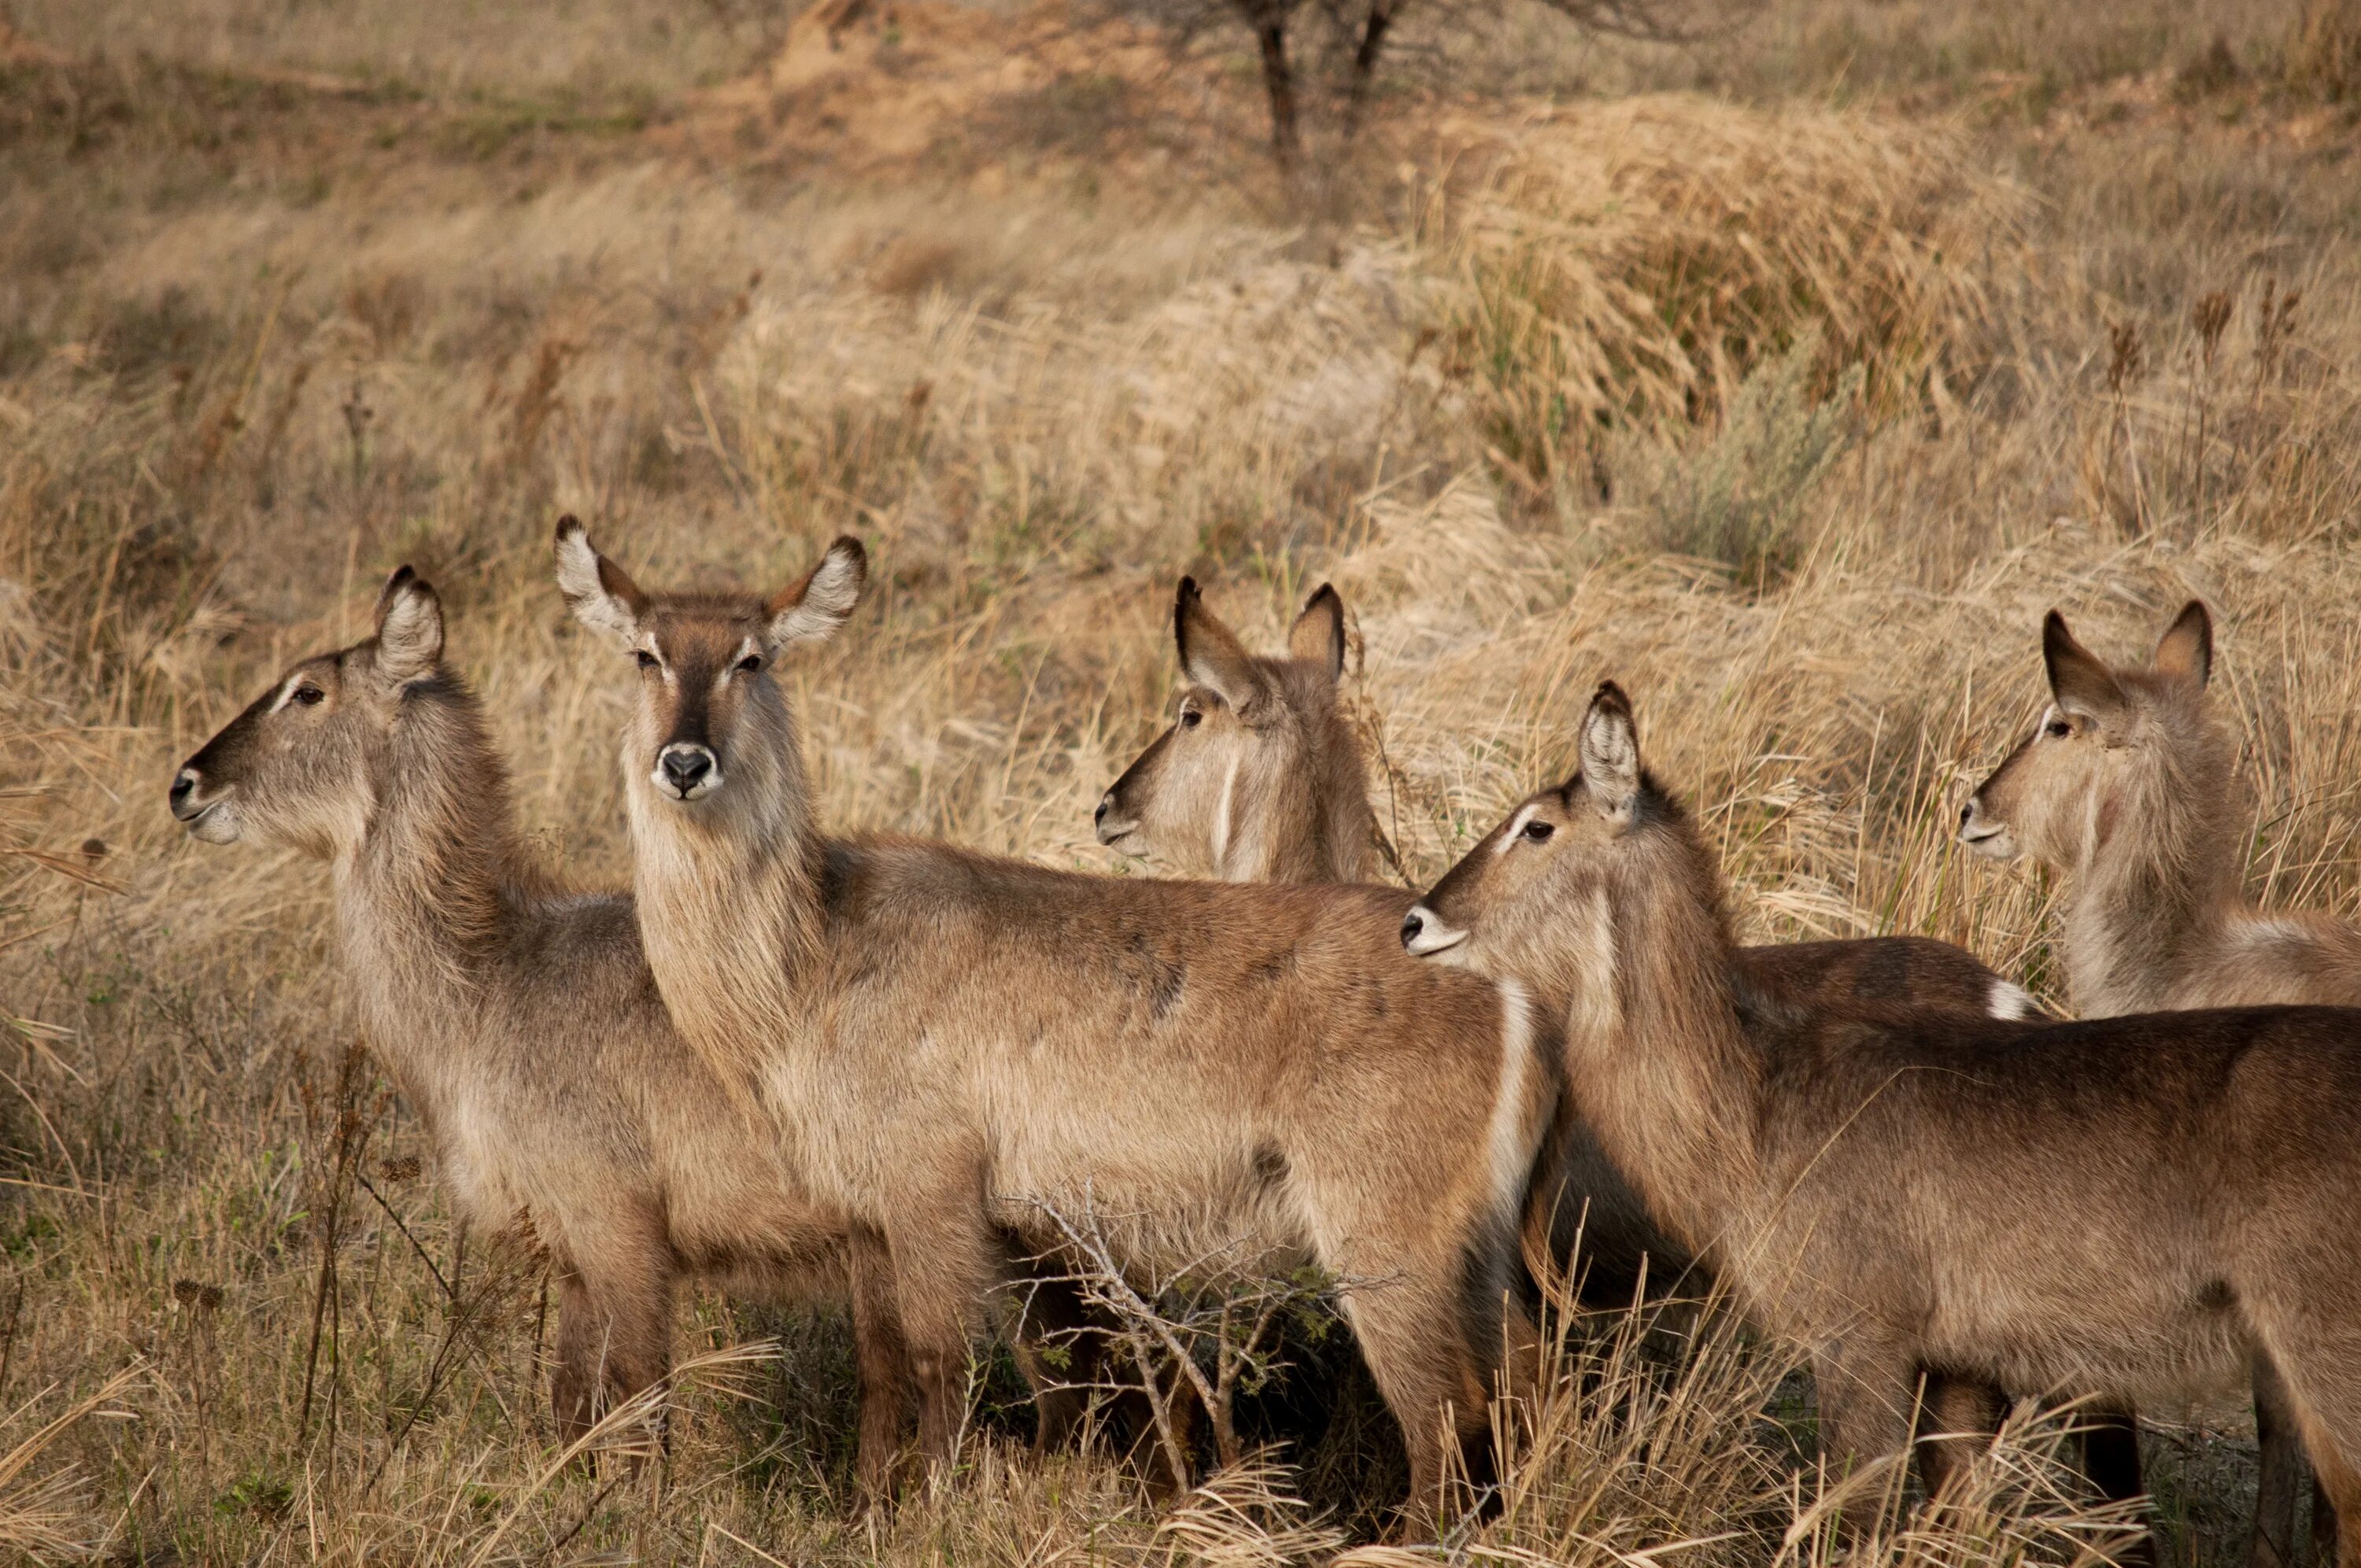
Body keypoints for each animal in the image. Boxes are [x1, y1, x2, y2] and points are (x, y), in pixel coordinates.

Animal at [550, 519, 1549, 1520]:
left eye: (752, 658)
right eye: (646, 655)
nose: (685, 763)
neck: (806, 957)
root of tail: (1505, 986)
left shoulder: (937, 1196)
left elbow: (940, 1367)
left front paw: (933, 1517)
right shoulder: (870, 1213)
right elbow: (883, 1372)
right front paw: (870, 1510)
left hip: (1383, 1240)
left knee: (1444, 1418)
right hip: (1485, 1254)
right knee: (1525, 1387)